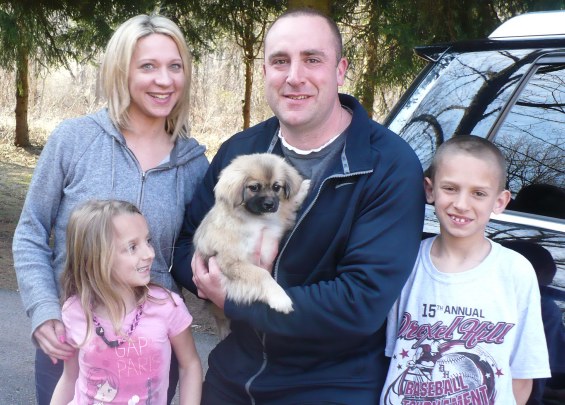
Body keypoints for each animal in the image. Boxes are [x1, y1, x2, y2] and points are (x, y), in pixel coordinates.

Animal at [193, 153, 310, 338]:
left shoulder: (278, 223)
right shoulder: (231, 262)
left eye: (276, 187)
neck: (255, 219)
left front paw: (303, 188)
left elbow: (287, 206)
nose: (269, 204)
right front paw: (280, 298)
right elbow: (261, 274)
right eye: (254, 187)